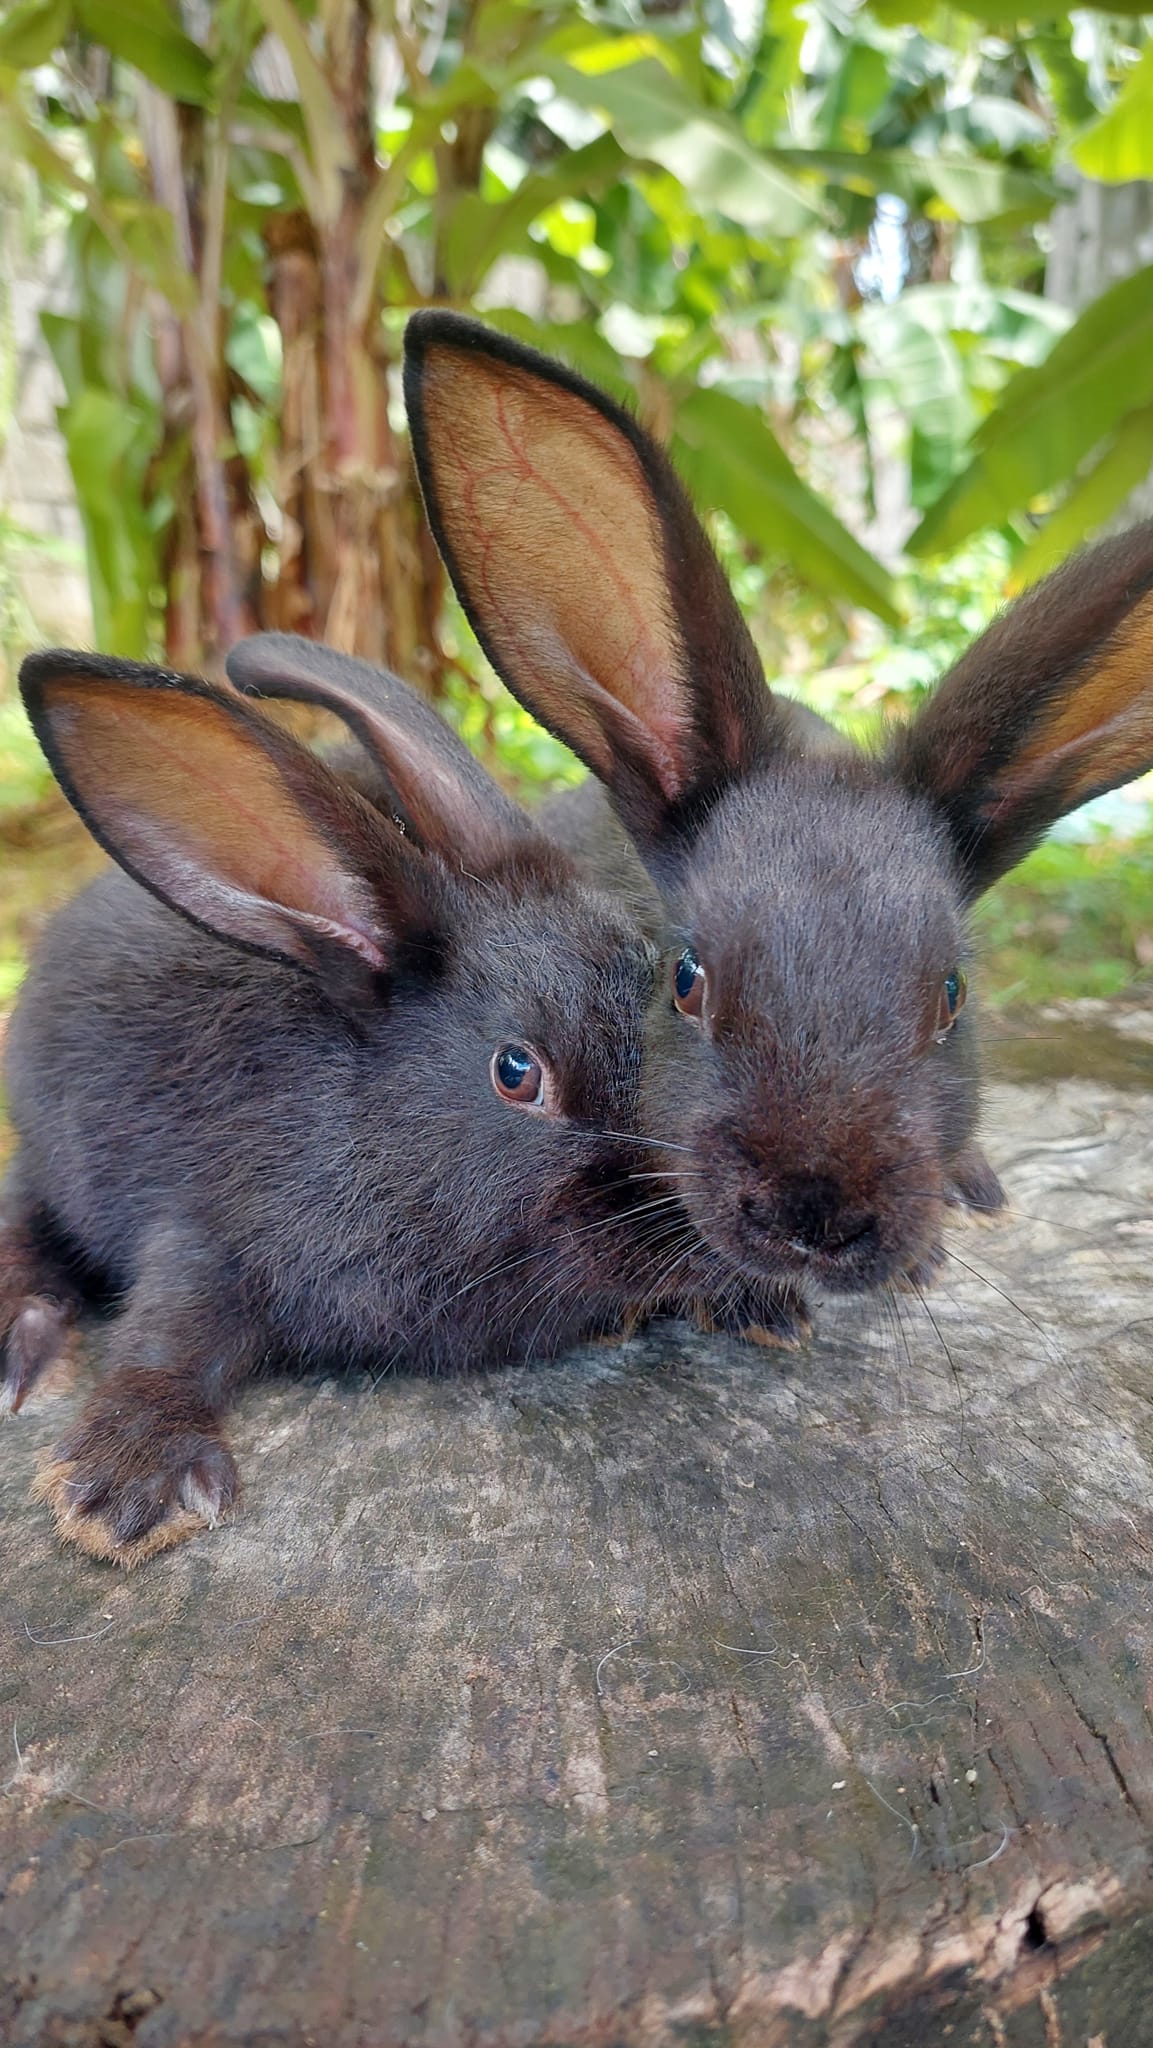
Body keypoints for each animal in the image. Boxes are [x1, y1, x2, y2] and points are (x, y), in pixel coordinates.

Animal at [0, 652, 799, 1567]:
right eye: (516, 1072)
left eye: (669, 989)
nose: (707, 1220)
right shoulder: (203, 1228)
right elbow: (169, 1329)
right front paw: (127, 1486)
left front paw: (758, 1303)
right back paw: (24, 1345)